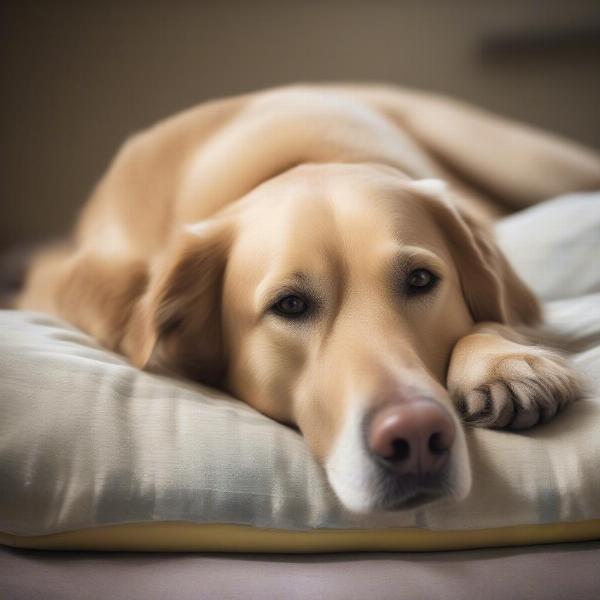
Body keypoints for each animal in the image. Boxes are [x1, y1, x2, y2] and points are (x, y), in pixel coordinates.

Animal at [18, 85, 600, 510]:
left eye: (420, 280)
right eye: (290, 305)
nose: (415, 438)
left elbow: (506, 312)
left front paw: (504, 362)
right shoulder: (65, 275)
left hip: (524, 159)